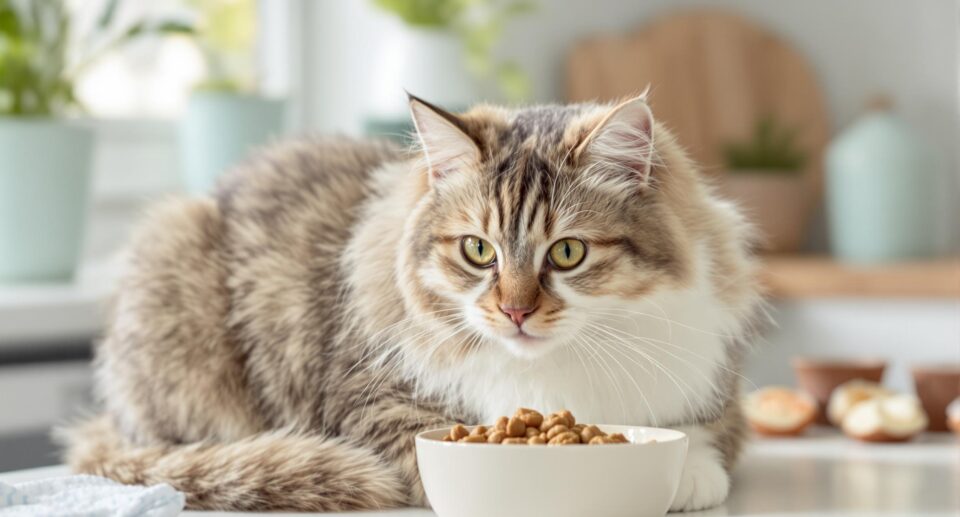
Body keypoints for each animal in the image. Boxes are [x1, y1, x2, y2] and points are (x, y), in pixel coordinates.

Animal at [63, 93, 760, 512]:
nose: (515, 312)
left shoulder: (716, 387)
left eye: (567, 253)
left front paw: (686, 475)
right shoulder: (376, 405)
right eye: (478, 250)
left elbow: (710, 442)